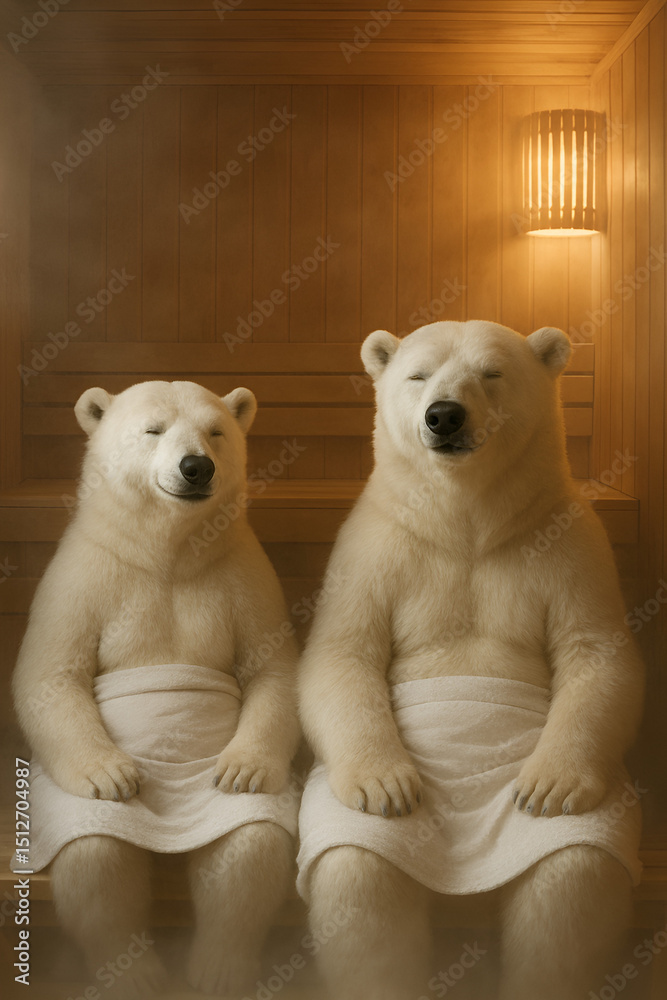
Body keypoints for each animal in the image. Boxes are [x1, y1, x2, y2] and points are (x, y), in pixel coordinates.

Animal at [12, 380, 300, 998]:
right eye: (153, 429)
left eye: (215, 430)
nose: (196, 467)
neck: (167, 555)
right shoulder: (82, 575)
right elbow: (49, 674)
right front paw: (110, 775)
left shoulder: (242, 571)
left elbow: (274, 669)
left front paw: (244, 769)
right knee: (95, 854)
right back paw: (133, 971)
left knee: (250, 843)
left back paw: (219, 966)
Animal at [296, 321, 644, 1000]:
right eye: (418, 374)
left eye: (491, 373)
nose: (445, 415)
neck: (466, 524)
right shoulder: (373, 548)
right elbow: (341, 653)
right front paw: (384, 785)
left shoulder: (569, 541)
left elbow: (597, 653)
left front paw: (552, 785)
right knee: (358, 872)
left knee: (573, 873)